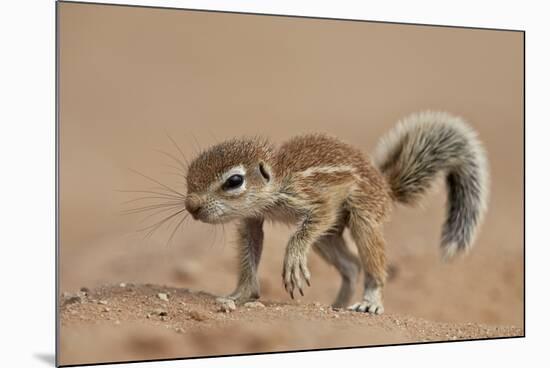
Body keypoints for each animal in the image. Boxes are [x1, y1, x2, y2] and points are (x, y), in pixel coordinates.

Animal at [183, 111, 490, 314]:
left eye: (234, 181)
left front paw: (293, 260)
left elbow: (308, 224)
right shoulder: (252, 219)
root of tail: (386, 187)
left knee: (372, 265)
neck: (278, 178)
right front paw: (240, 295)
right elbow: (250, 250)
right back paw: (337, 305)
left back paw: (370, 301)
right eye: (189, 174)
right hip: (327, 238)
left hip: (363, 217)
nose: (191, 206)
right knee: (351, 266)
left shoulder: (315, 198)